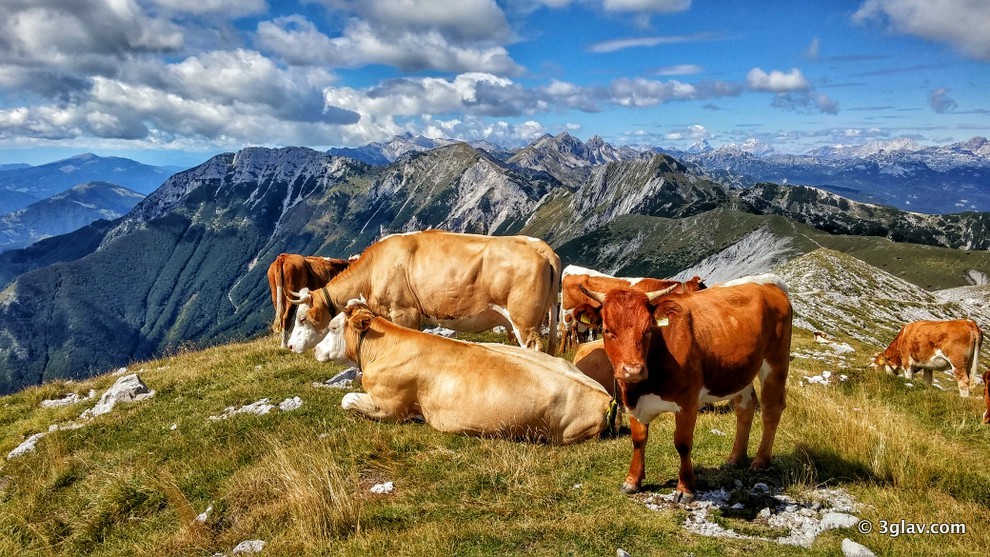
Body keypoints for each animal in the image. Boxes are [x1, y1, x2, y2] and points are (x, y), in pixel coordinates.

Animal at [287, 230, 560, 354]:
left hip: (524, 321)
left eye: (302, 318)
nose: (289, 346)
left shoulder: (404, 312)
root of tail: (537, 244)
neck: (372, 270)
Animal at [312, 300, 615, 444]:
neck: (384, 347)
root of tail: (606, 399)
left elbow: (347, 400)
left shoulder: (389, 406)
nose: (315, 350)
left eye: (333, 327)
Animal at [559, 265, 705, 353]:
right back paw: (562, 352)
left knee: (579, 333)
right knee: (566, 330)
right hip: (567, 312)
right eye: (699, 289)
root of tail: (570, 268)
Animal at [579, 274, 792, 502]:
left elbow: (682, 443)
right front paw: (632, 480)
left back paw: (760, 461)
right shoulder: (632, 401)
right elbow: (638, 440)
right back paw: (736, 457)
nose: (633, 370)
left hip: (775, 363)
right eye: (607, 330)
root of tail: (767, 281)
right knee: (746, 407)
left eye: (649, 329)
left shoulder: (688, 402)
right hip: (739, 371)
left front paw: (685, 488)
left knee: (771, 409)